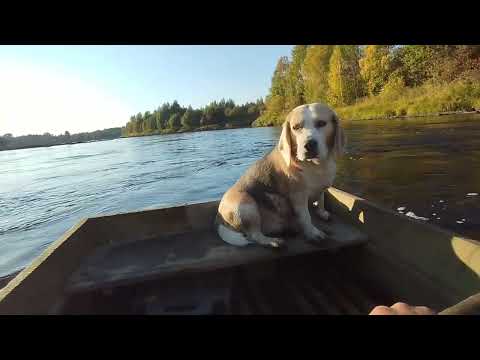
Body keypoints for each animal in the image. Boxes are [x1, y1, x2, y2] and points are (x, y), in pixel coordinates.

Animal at [216, 102, 346, 249]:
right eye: (296, 127)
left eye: (321, 123)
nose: (309, 145)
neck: (315, 166)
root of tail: (218, 220)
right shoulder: (298, 197)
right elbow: (306, 217)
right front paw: (313, 233)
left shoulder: (322, 188)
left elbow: (321, 200)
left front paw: (321, 212)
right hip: (246, 205)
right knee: (254, 235)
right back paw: (272, 241)